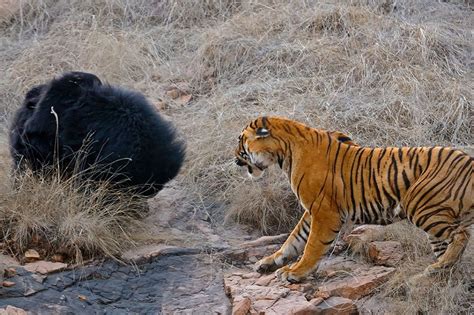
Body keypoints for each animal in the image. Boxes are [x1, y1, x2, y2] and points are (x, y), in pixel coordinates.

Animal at [235, 116, 472, 284]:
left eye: (241, 140)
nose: (234, 158)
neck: (285, 154)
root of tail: (469, 161)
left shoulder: (324, 212)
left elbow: (312, 245)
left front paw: (297, 272)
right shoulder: (312, 212)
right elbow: (294, 239)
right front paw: (269, 263)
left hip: (422, 207)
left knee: (461, 235)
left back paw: (437, 267)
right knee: (450, 254)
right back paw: (430, 274)